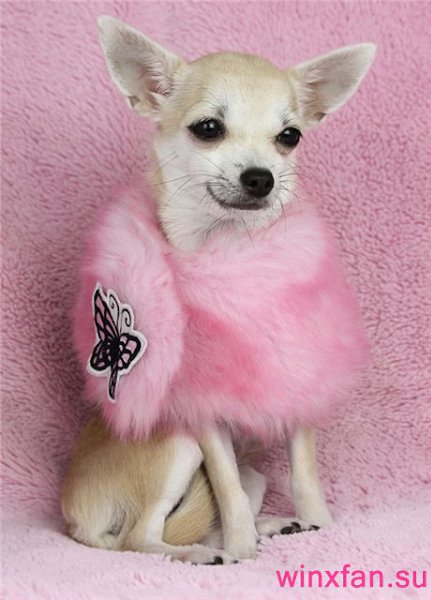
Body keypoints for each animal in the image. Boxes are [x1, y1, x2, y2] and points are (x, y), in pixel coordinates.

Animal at [62, 15, 375, 564]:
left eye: (289, 136)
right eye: (208, 129)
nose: (261, 177)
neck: (234, 255)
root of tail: (72, 511)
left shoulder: (298, 384)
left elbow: (305, 472)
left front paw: (321, 525)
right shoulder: (203, 416)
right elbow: (226, 486)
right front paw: (245, 550)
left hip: (249, 471)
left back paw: (275, 524)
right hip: (177, 443)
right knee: (138, 538)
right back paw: (210, 553)